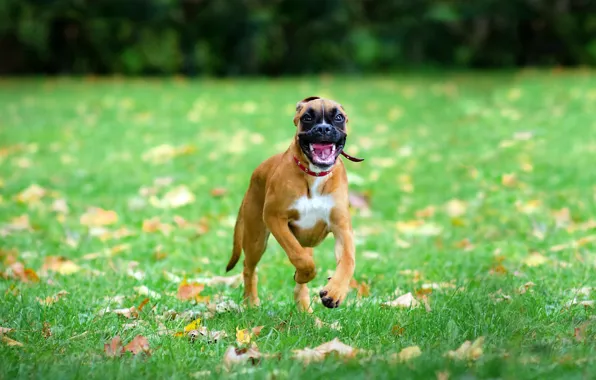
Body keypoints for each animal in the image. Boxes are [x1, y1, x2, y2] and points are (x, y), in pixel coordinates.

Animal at [225, 96, 360, 310]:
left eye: (338, 117)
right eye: (307, 117)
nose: (323, 128)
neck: (314, 174)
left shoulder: (342, 228)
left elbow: (348, 260)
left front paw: (335, 292)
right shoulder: (275, 218)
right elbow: (299, 257)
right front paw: (304, 274)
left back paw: (305, 308)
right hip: (256, 237)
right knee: (249, 267)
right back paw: (251, 303)